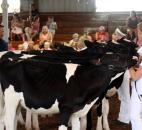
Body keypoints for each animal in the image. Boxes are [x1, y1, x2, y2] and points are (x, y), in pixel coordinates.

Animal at [0, 41, 138, 130]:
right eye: (116, 56)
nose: (135, 57)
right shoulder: (65, 110)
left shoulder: (77, 112)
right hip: (11, 101)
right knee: (7, 121)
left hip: (16, 103)